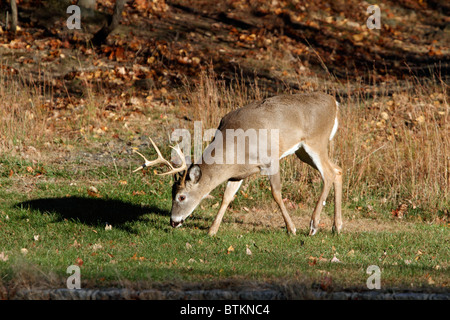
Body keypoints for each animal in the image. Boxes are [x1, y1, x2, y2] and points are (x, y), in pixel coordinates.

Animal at [132, 92, 342, 235]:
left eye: (181, 197)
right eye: (171, 194)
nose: (173, 221)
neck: (237, 147)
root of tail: (334, 102)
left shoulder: (270, 159)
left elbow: (276, 193)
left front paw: (292, 229)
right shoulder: (237, 173)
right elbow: (227, 197)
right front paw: (212, 230)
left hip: (316, 141)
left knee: (329, 173)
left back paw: (314, 225)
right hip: (302, 152)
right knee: (338, 170)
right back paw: (337, 227)